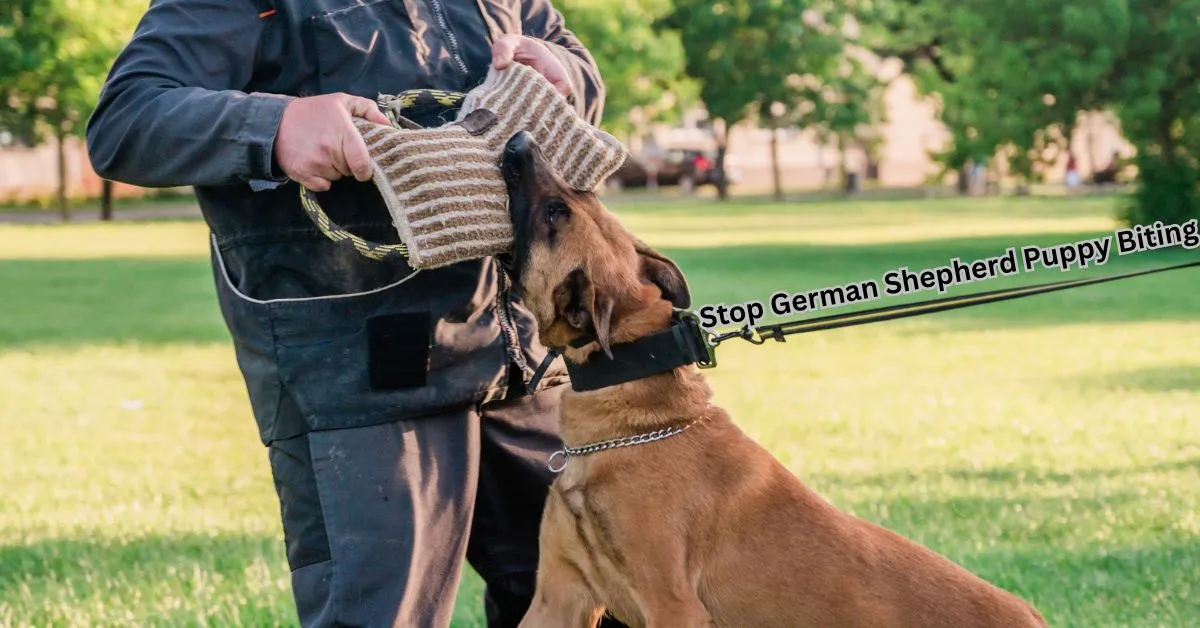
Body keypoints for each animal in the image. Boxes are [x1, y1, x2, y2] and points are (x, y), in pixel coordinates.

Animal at [501, 130, 1046, 624]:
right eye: (576, 199)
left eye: (555, 212)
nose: (520, 139)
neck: (635, 427)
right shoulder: (557, 600)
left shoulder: (673, 607)